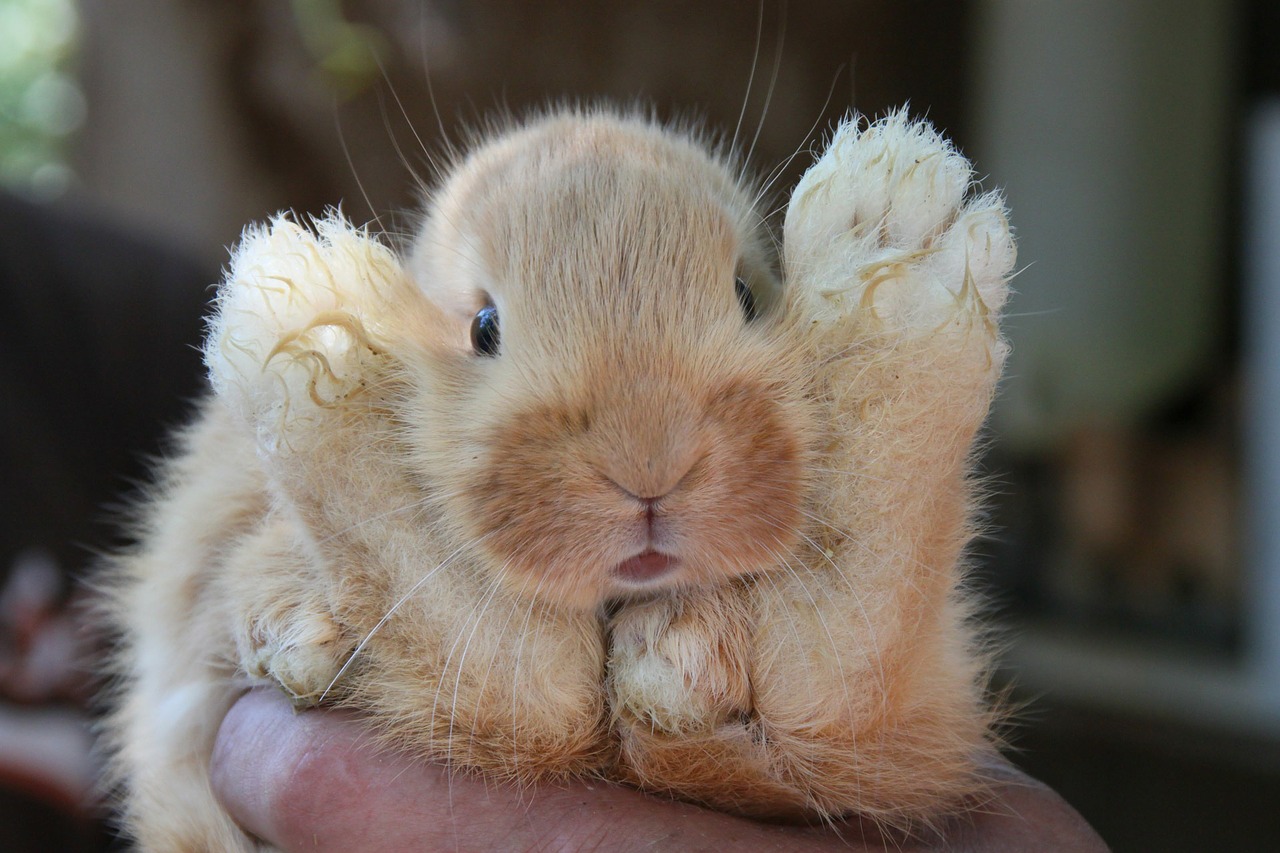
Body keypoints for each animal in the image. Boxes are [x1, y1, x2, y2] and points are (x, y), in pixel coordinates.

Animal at [99, 103, 1013, 845]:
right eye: (484, 326)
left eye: (749, 296)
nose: (649, 464)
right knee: (529, 688)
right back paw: (304, 307)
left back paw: (895, 227)